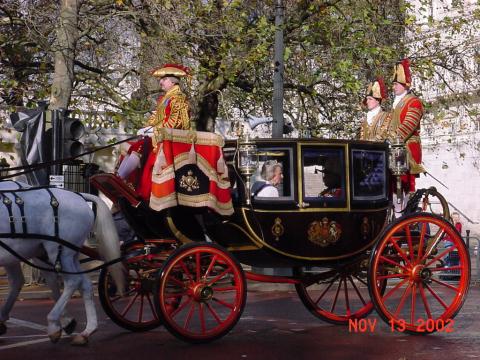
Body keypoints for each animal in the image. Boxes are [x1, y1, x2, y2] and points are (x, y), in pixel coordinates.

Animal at [0, 181, 124, 344]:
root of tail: (79, 196)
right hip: (63, 254)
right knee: (83, 283)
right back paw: (87, 330)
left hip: (59, 252)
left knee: (72, 281)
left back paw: (54, 324)